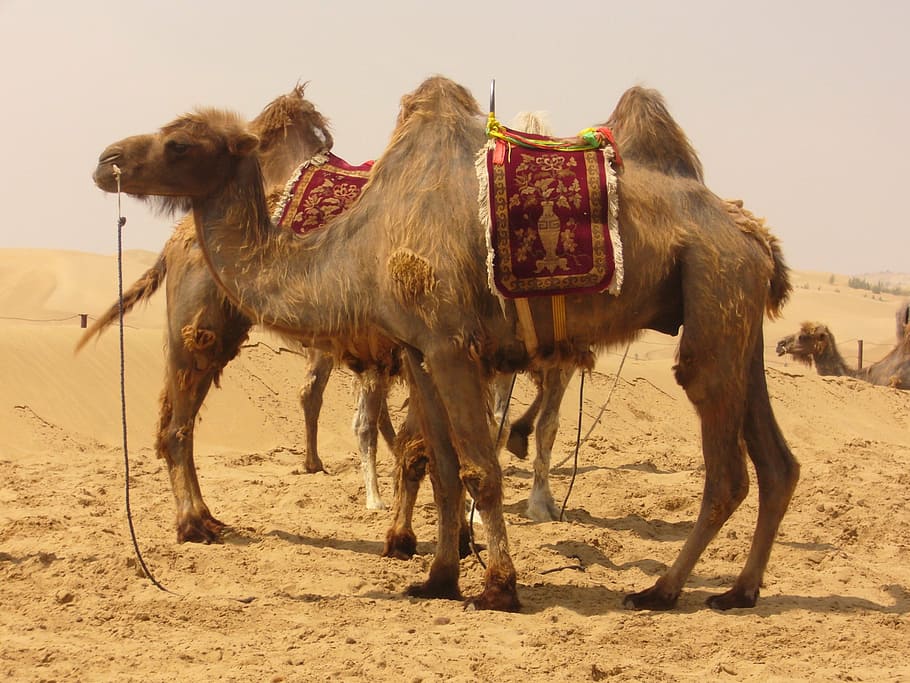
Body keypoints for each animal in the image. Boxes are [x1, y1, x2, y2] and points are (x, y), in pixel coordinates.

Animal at [92, 75, 799, 612]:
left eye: (179, 142)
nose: (106, 160)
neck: (359, 244)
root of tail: (755, 234)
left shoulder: (454, 344)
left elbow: (478, 467)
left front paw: (498, 588)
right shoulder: (419, 349)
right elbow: (442, 465)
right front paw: (436, 577)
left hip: (714, 296)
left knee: (729, 468)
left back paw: (662, 590)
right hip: (734, 316)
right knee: (778, 463)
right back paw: (737, 591)